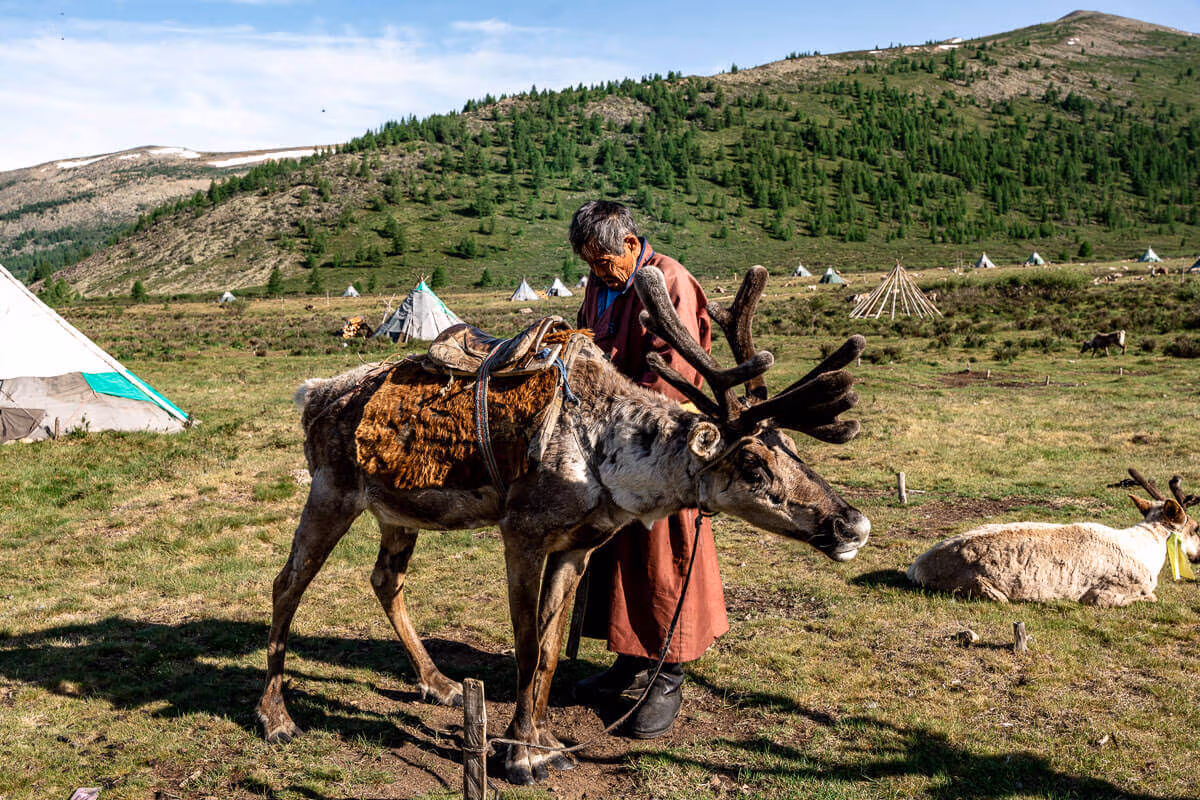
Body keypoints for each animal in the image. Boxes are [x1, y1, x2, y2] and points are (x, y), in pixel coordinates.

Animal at [254, 265, 870, 785]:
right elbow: (527, 647)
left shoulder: (579, 547)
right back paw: (276, 716)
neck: (606, 457)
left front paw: (542, 741)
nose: (853, 525)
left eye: (793, 449)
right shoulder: (522, 535)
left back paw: (438, 684)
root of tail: (313, 393)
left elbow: (550, 652)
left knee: (385, 580)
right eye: (753, 464)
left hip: (398, 509)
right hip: (332, 491)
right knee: (287, 583)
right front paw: (521, 754)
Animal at [907, 469, 1200, 607]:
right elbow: (1151, 597)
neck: (1149, 551)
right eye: (1196, 527)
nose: (1198, 556)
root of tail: (916, 567)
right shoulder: (1103, 595)